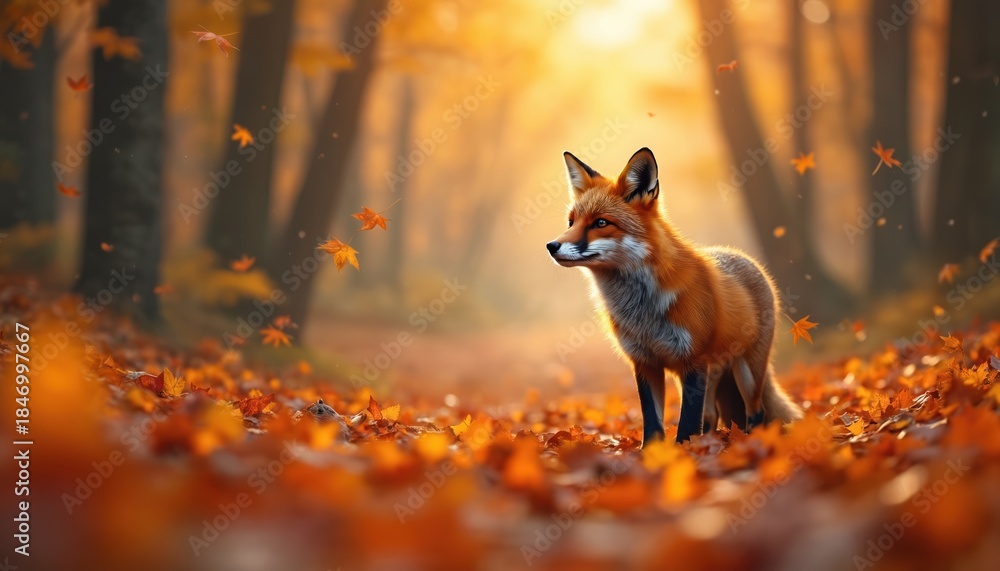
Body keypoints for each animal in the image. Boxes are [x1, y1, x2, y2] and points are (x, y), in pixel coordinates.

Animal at [546, 147, 802, 445]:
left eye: (600, 222)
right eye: (571, 222)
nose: (551, 246)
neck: (642, 311)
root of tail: (745, 258)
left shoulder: (693, 361)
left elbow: (688, 423)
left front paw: (684, 451)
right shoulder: (645, 363)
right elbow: (653, 422)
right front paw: (655, 453)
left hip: (747, 372)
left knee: (755, 412)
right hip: (712, 373)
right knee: (711, 415)